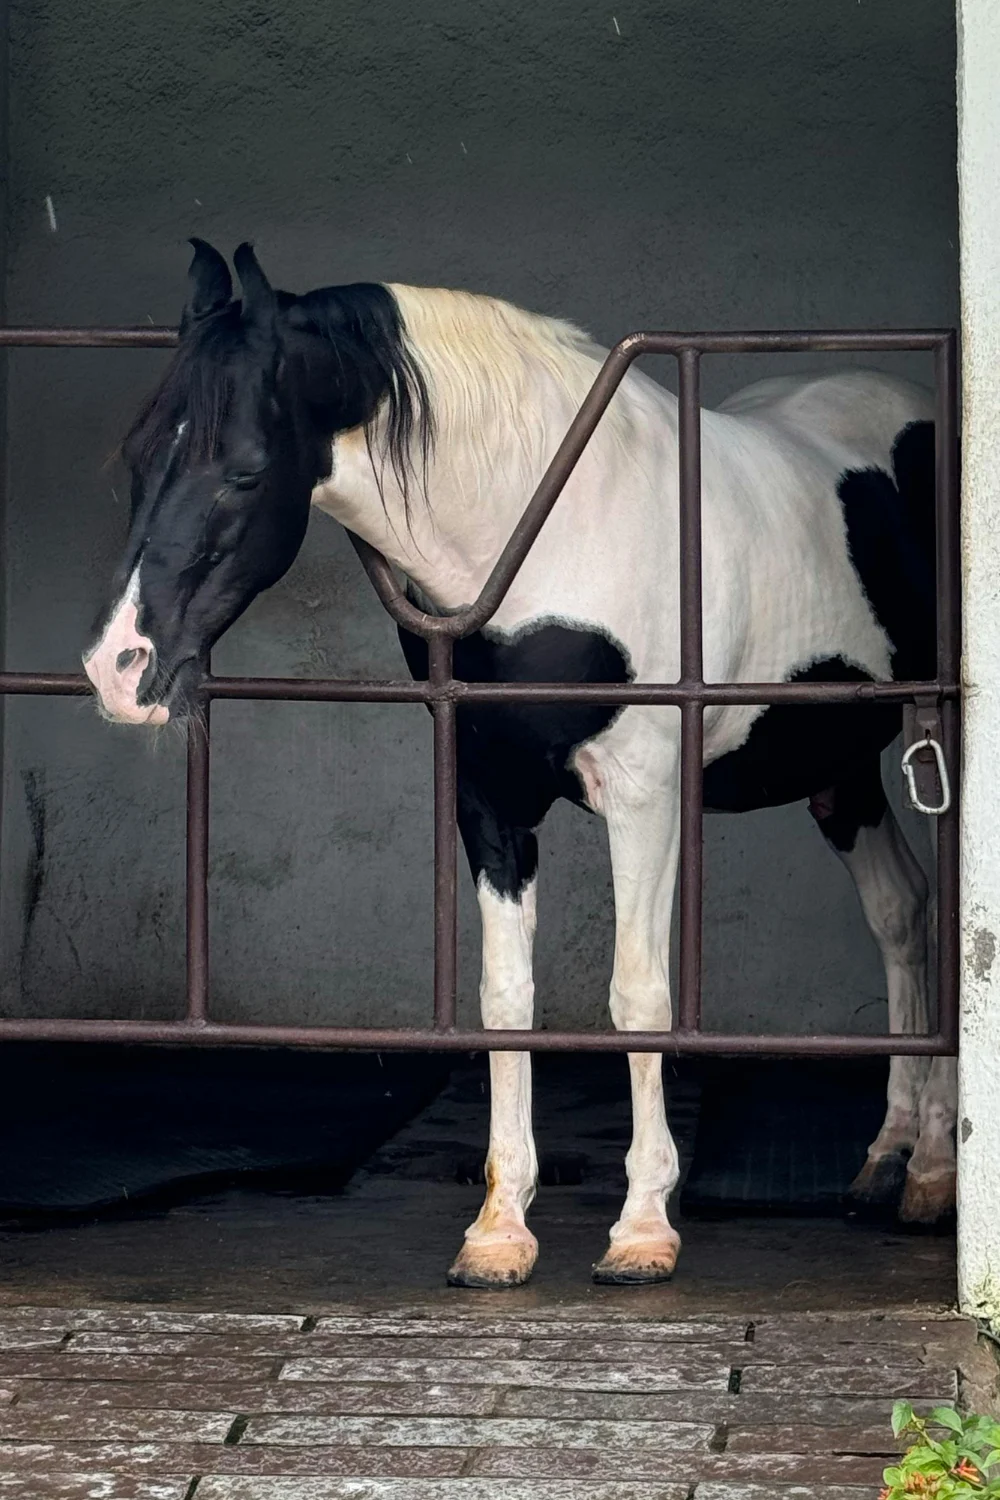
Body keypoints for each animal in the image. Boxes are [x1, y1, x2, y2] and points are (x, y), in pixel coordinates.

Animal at [83, 239, 956, 1288]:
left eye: (245, 472)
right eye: (136, 457)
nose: (118, 669)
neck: (552, 530)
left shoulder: (645, 797)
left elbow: (639, 995)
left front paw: (643, 1229)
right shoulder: (490, 803)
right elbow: (505, 998)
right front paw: (501, 1230)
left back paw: (934, 1175)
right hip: (839, 770)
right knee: (903, 914)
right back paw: (888, 1158)